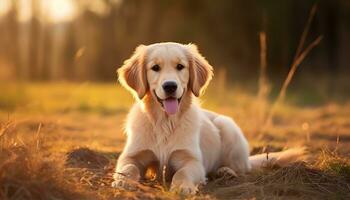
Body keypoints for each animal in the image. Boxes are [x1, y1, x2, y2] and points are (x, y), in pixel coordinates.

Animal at [113, 42, 306, 194]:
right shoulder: (131, 156)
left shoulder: (193, 161)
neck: (165, 121)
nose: (170, 86)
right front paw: (122, 180)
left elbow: (182, 172)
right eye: (155, 68)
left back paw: (225, 171)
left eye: (180, 66)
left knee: (242, 169)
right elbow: (128, 167)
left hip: (227, 126)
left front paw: (183, 187)